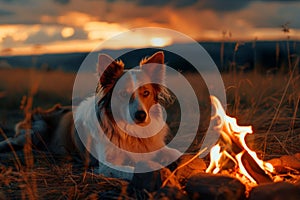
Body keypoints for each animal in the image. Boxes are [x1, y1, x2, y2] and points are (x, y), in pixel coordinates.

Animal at [0, 51, 180, 180]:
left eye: (146, 93)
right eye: (122, 94)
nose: (141, 116)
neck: (130, 132)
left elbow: (177, 154)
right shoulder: (107, 165)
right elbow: (134, 169)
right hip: (36, 130)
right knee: (10, 141)